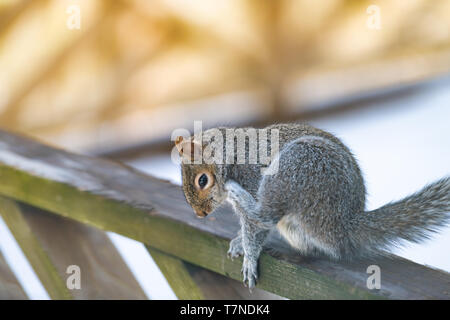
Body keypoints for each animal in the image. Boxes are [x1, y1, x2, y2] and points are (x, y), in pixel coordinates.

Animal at [175, 122, 450, 288]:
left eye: (202, 180)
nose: (200, 214)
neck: (231, 154)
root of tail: (344, 223)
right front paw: (238, 241)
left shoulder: (252, 176)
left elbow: (257, 227)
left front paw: (249, 260)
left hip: (300, 166)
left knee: (266, 214)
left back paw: (238, 196)